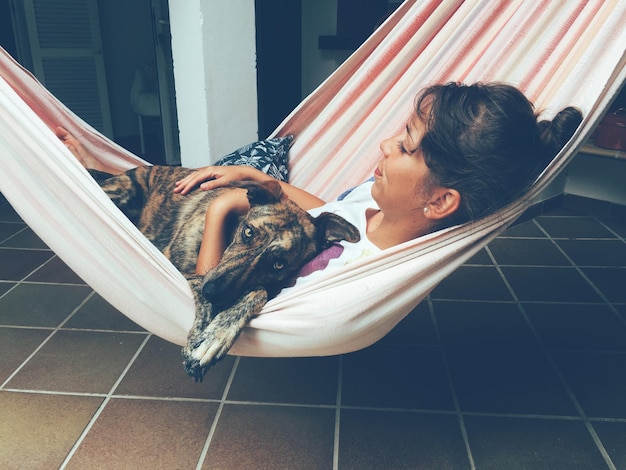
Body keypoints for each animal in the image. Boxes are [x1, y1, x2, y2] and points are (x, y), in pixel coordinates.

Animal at [90, 167, 358, 380]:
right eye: (248, 232)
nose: (213, 292)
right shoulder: (178, 265)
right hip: (124, 192)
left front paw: (216, 336)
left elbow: (258, 290)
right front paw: (201, 337)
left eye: (279, 265)